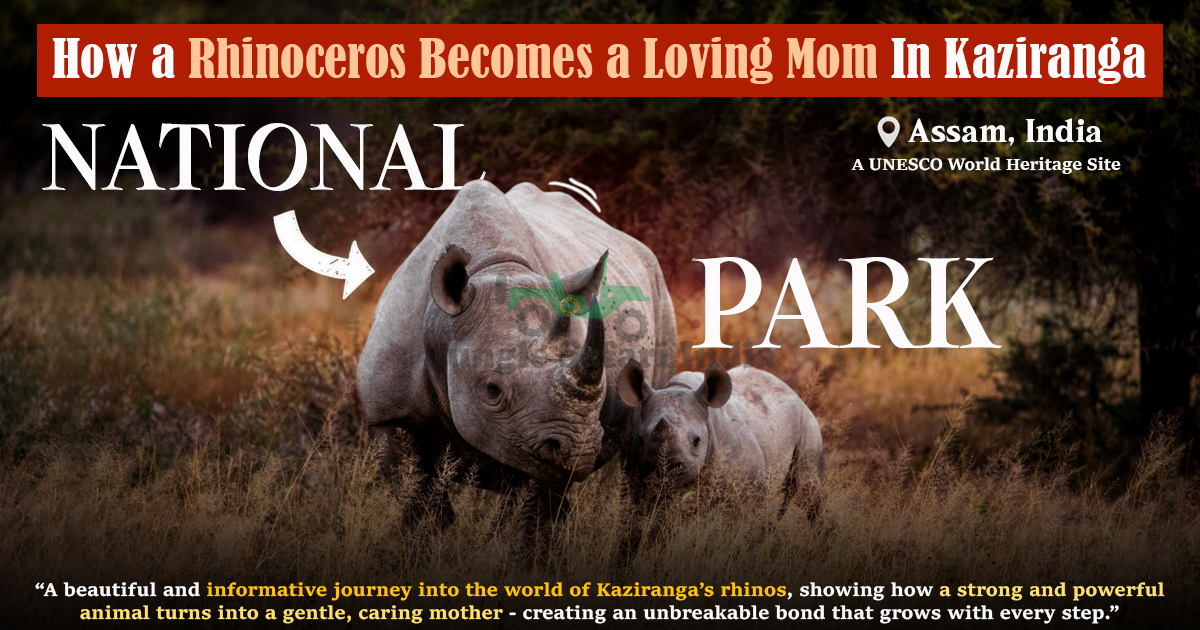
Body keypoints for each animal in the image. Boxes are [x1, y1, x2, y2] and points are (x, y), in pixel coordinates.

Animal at [357, 180, 677, 515]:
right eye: (492, 390)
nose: (577, 449)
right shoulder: (391, 416)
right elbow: (419, 502)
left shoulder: (533, 436)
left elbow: (530, 510)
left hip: (660, 296)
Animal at [617, 361, 824, 492]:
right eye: (640, 439)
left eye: (697, 441)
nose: (665, 469)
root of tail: (792, 391)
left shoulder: (750, 482)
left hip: (808, 424)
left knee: (808, 489)